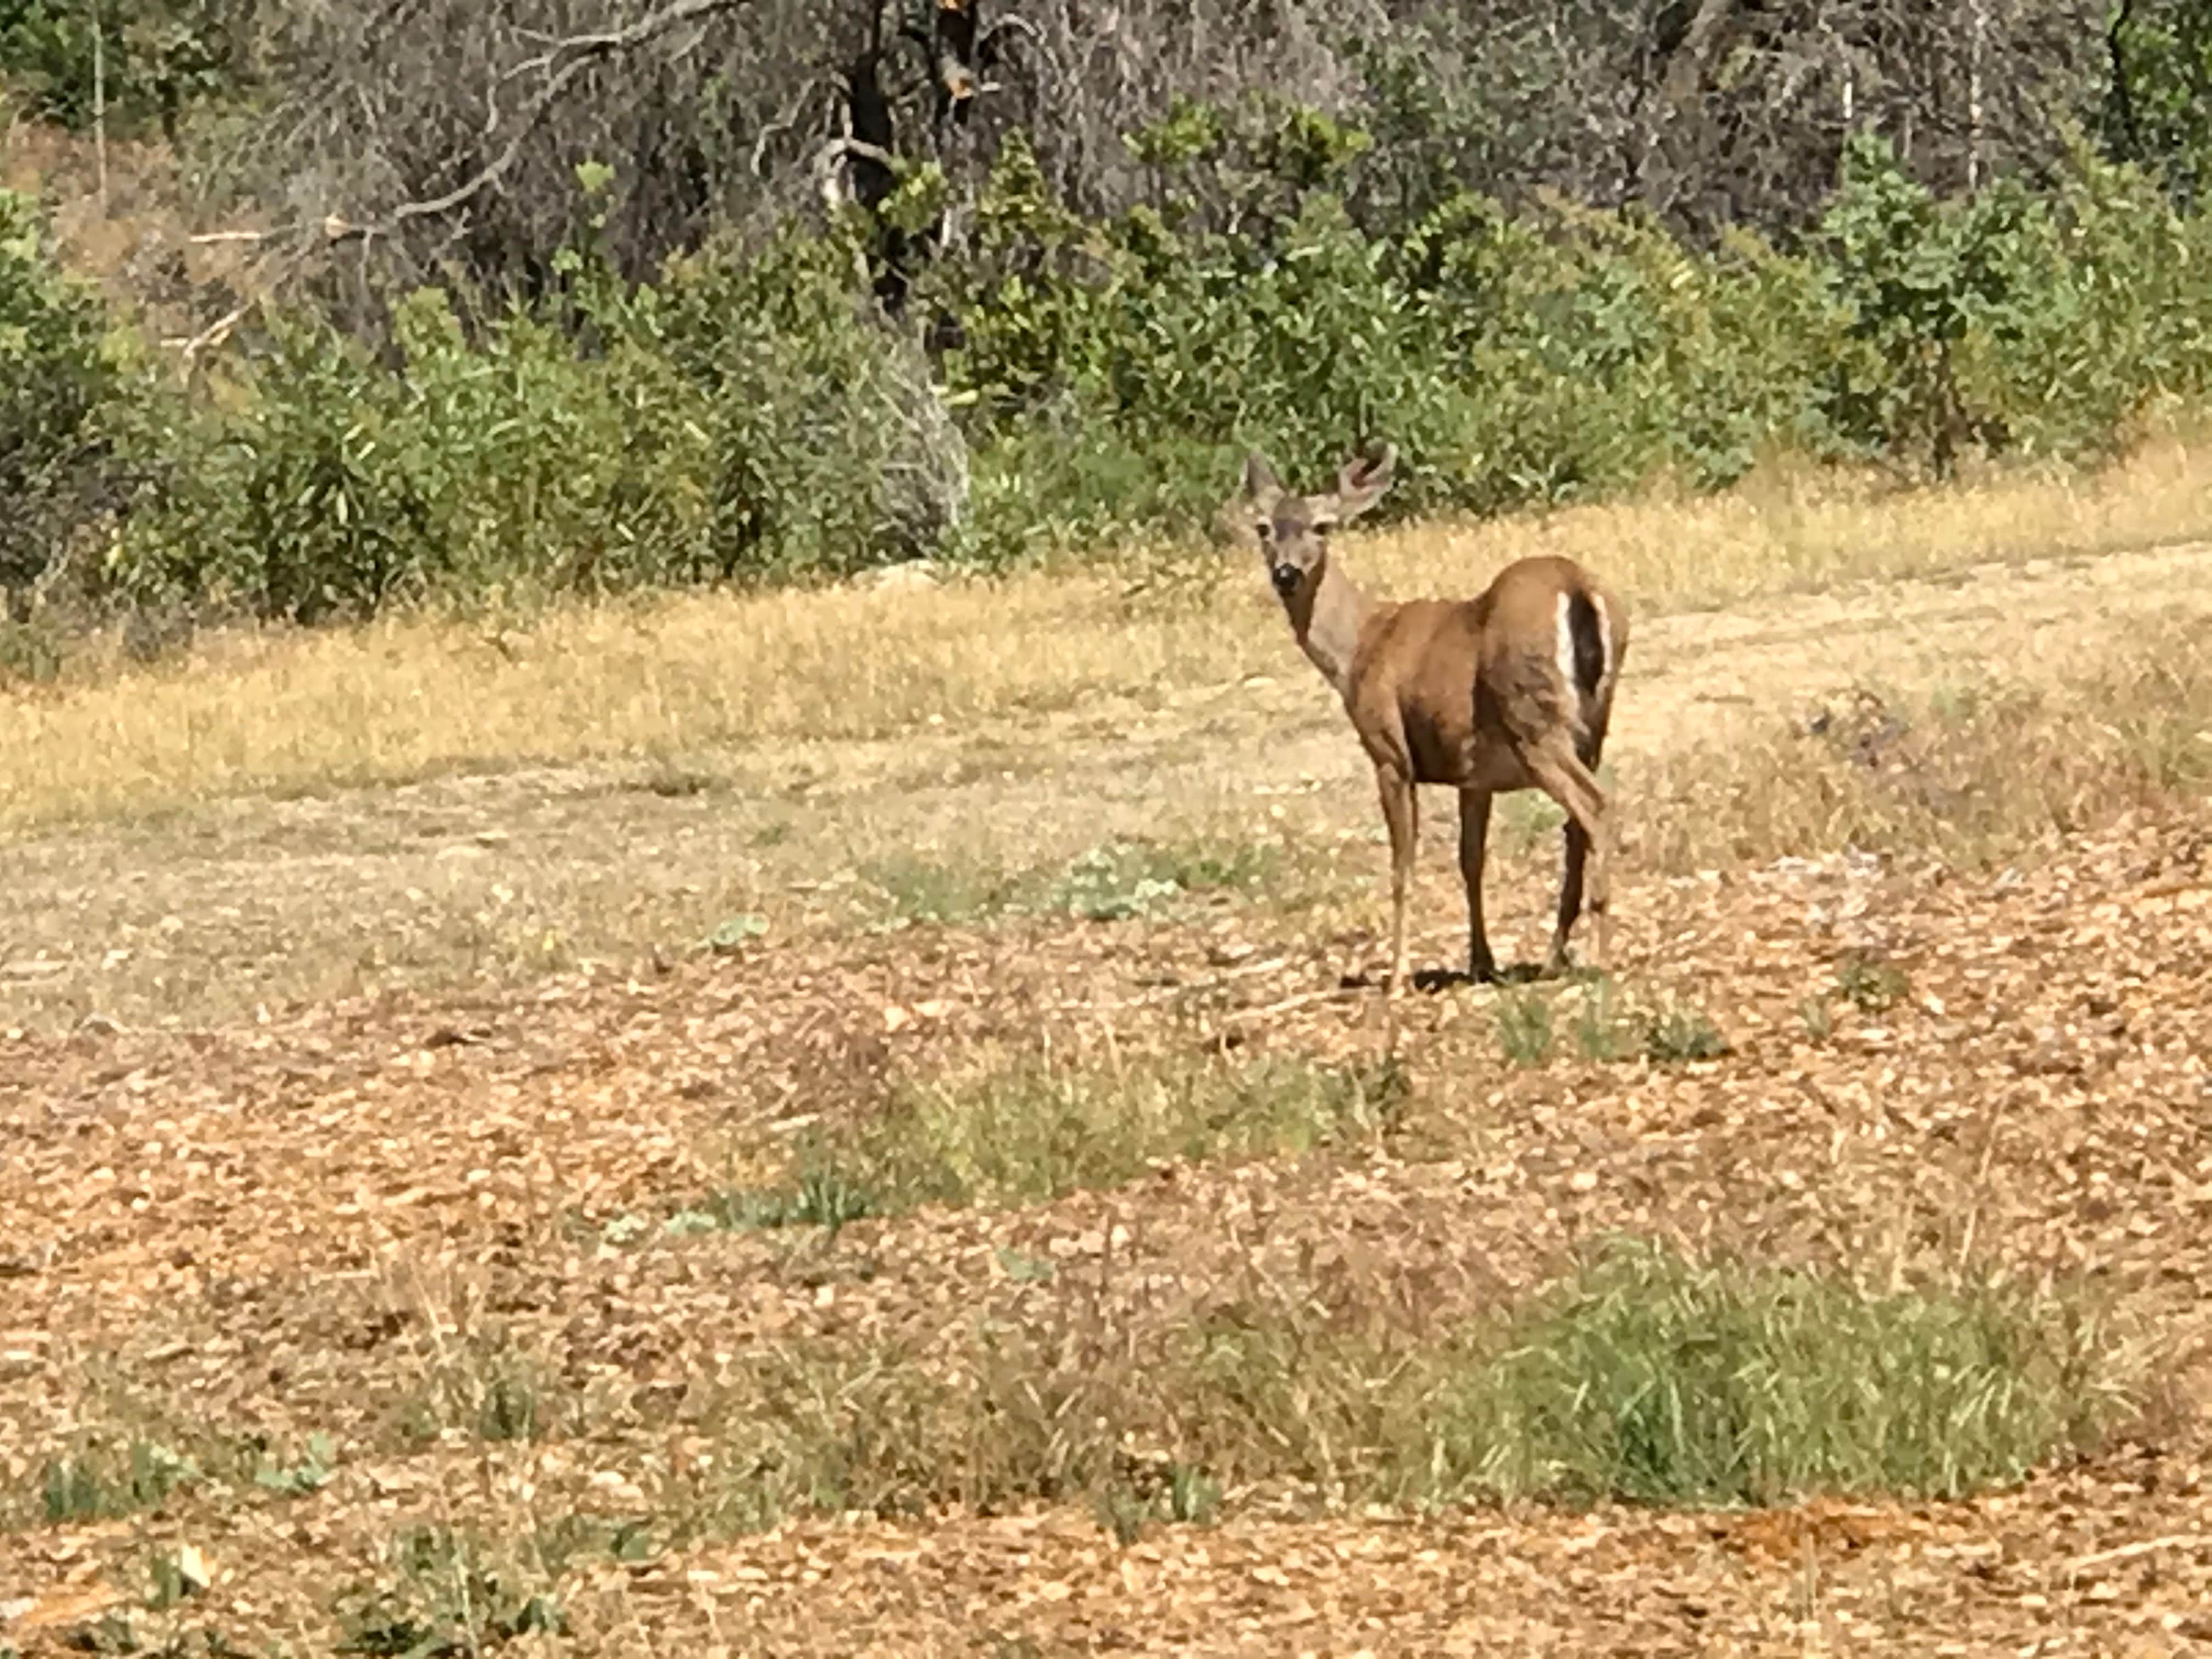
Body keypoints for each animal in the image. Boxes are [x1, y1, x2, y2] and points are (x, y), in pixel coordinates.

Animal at [1248, 442, 1628, 1000]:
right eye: (1264, 529)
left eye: (1323, 526)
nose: (1287, 574)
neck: (1361, 645)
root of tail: (1577, 588)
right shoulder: (1475, 775)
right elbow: (1471, 861)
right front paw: (1481, 963)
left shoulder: (1390, 752)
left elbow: (1402, 867)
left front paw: (1397, 977)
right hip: (1594, 723)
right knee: (1575, 826)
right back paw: (1554, 957)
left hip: (1533, 720)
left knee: (1596, 808)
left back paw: (1600, 957)